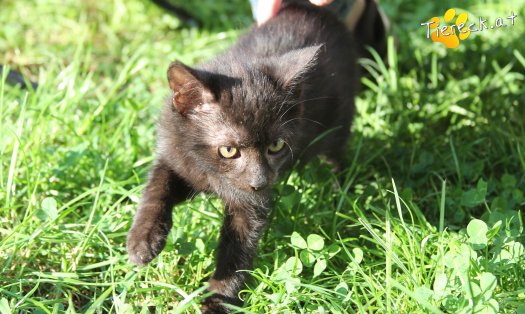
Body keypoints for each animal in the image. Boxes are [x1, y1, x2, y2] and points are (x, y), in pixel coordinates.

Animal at [126, 1, 356, 312]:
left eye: (276, 146)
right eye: (229, 150)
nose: (260, 182)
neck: (210, 171)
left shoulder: (250, 206)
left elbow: (237, 249)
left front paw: (218, 300)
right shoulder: (175, 153)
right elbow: (157, 186)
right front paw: (143, 239)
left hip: (337, 125)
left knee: (336, 157)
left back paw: (338, 193)